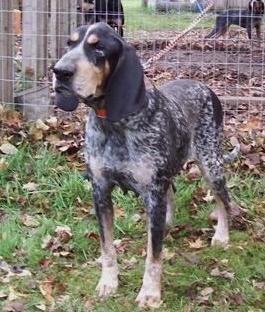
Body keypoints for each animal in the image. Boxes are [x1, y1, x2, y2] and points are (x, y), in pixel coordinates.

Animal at [53, 23, 233, 308]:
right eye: (69, 44)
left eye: (99, 49)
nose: (59, 71)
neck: (114, 123)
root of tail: (205, 87)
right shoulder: (100, 191)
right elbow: (107, 247)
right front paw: (108, 283)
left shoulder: (152, 191)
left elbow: (153, 256)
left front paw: (150, 293)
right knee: (171, 194)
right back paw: (167, 222)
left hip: (211, 163)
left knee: (223, 200)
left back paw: (222, 236)